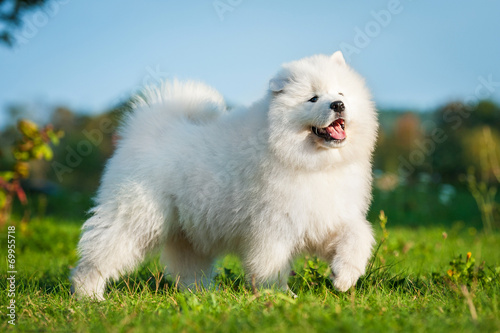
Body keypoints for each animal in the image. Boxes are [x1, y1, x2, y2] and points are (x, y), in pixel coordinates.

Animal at [69, 51, 376, 298]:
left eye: (341, 93)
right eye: (313, 98)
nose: (338, 105)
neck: (314, 162)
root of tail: (147, 128)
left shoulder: (328, 216)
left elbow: (358, 236)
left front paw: (344, 276)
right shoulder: (273, 227)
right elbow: (271, 264)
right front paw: (279, 296)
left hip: (186, 231)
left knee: (187, 266)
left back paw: (202, 294)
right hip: (134, 218)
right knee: (99, 255)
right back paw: (89, 295)